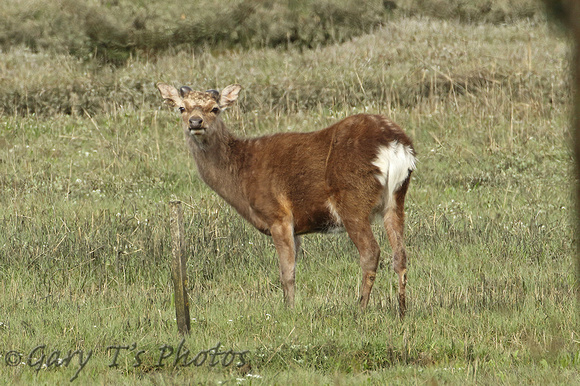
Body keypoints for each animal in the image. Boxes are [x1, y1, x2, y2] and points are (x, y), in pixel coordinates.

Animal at [156, 82, 414, 316]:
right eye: (181, 107)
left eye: (215, 108)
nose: (195, 122)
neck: (242, 174)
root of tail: (395, 144)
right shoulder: (296, 227)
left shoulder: (277, 215)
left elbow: (286, 272)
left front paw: (289, 311)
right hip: (396, 198)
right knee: (400, 254)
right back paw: (401, 310)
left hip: (353, 200)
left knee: (371, 252)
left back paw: (360, 310)